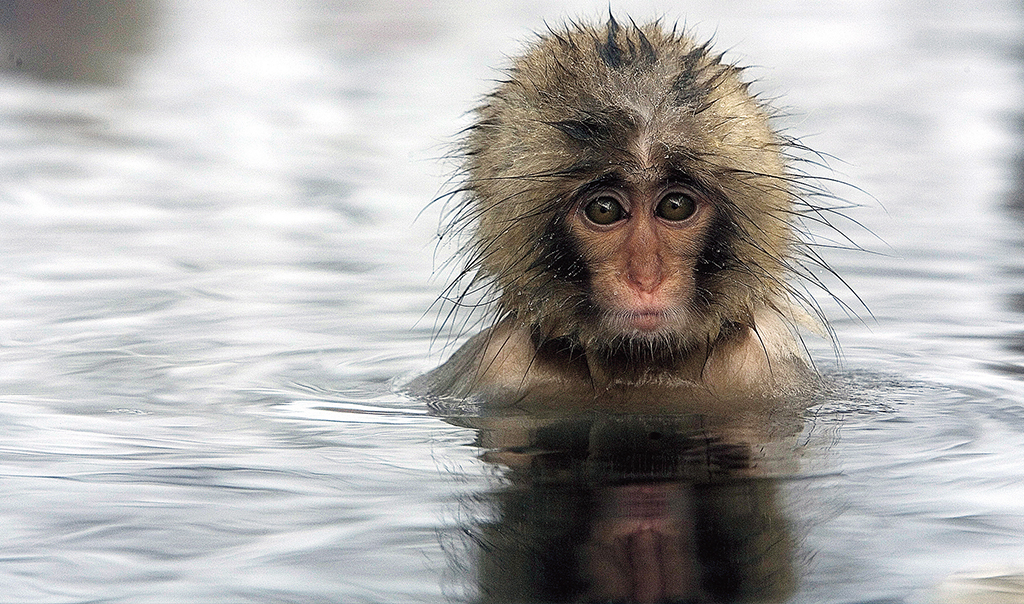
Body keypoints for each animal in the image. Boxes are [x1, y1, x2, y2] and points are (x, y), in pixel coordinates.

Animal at [411, 16, 843, 411]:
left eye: (675, 206)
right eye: (604, 210)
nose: (646, 278)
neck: (641, 366)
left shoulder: (760, 366)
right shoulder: (499, 367)